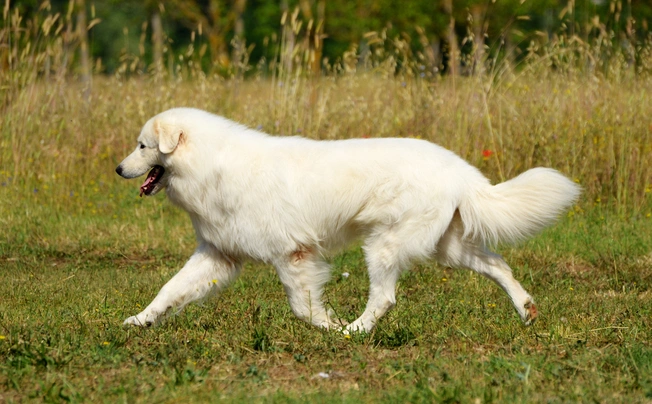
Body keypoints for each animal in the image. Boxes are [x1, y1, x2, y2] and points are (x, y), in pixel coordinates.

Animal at [117, 106, 580, 332]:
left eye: (142, 146)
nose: (118, 170)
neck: (211, 165)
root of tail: (459, 170)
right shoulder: (218, 255)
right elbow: (169, 290)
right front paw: (139, 321)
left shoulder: (294, 256)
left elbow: (304, 308)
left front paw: (330, 327)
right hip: (446, 248)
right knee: (499, 265)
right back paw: (526, 310)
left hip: (384, 246)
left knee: (385, 298)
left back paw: (354, 331)